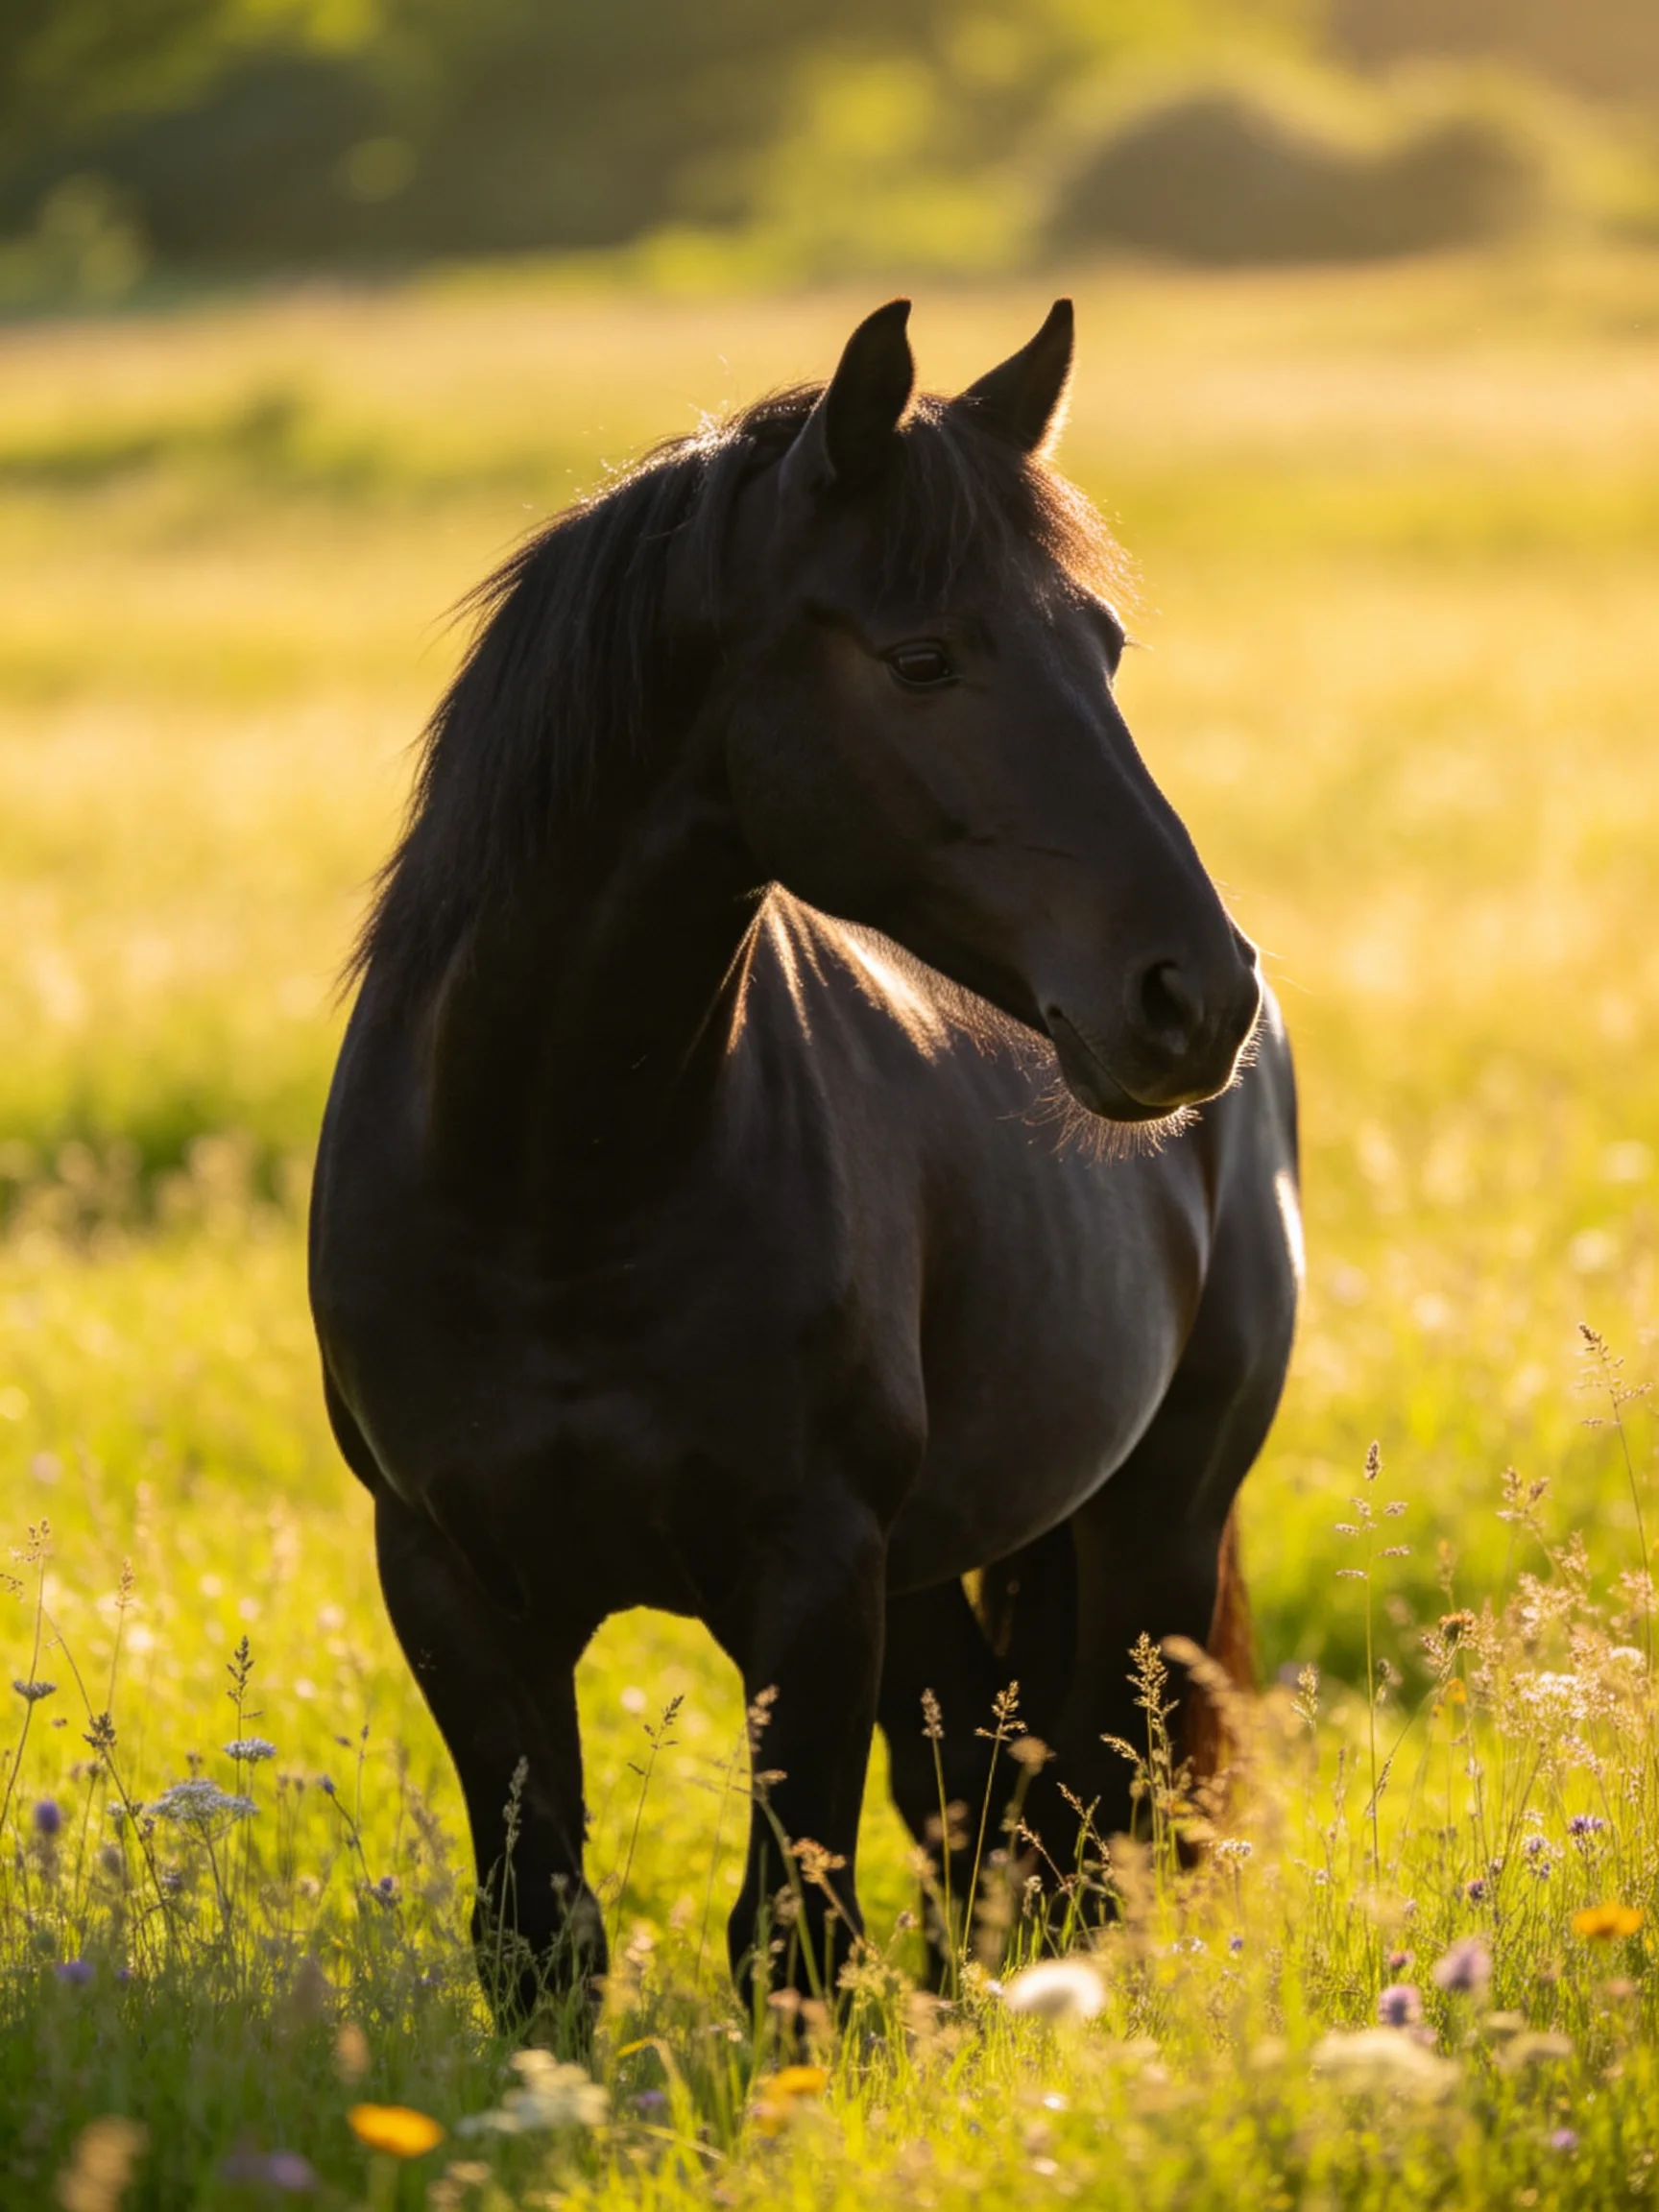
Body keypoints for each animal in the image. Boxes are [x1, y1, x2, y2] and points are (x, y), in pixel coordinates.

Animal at [308, 297, 1301, 2022]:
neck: (551, 1184)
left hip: (1155, 1524)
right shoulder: (450, 1580)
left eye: (1103, 647)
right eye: (921, 659)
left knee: (1088, 1828)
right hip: (941, 1574)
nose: (1194, 994)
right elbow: (541, 1931)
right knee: (991, 1818)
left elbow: (791, 1935)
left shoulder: (813, 1578)